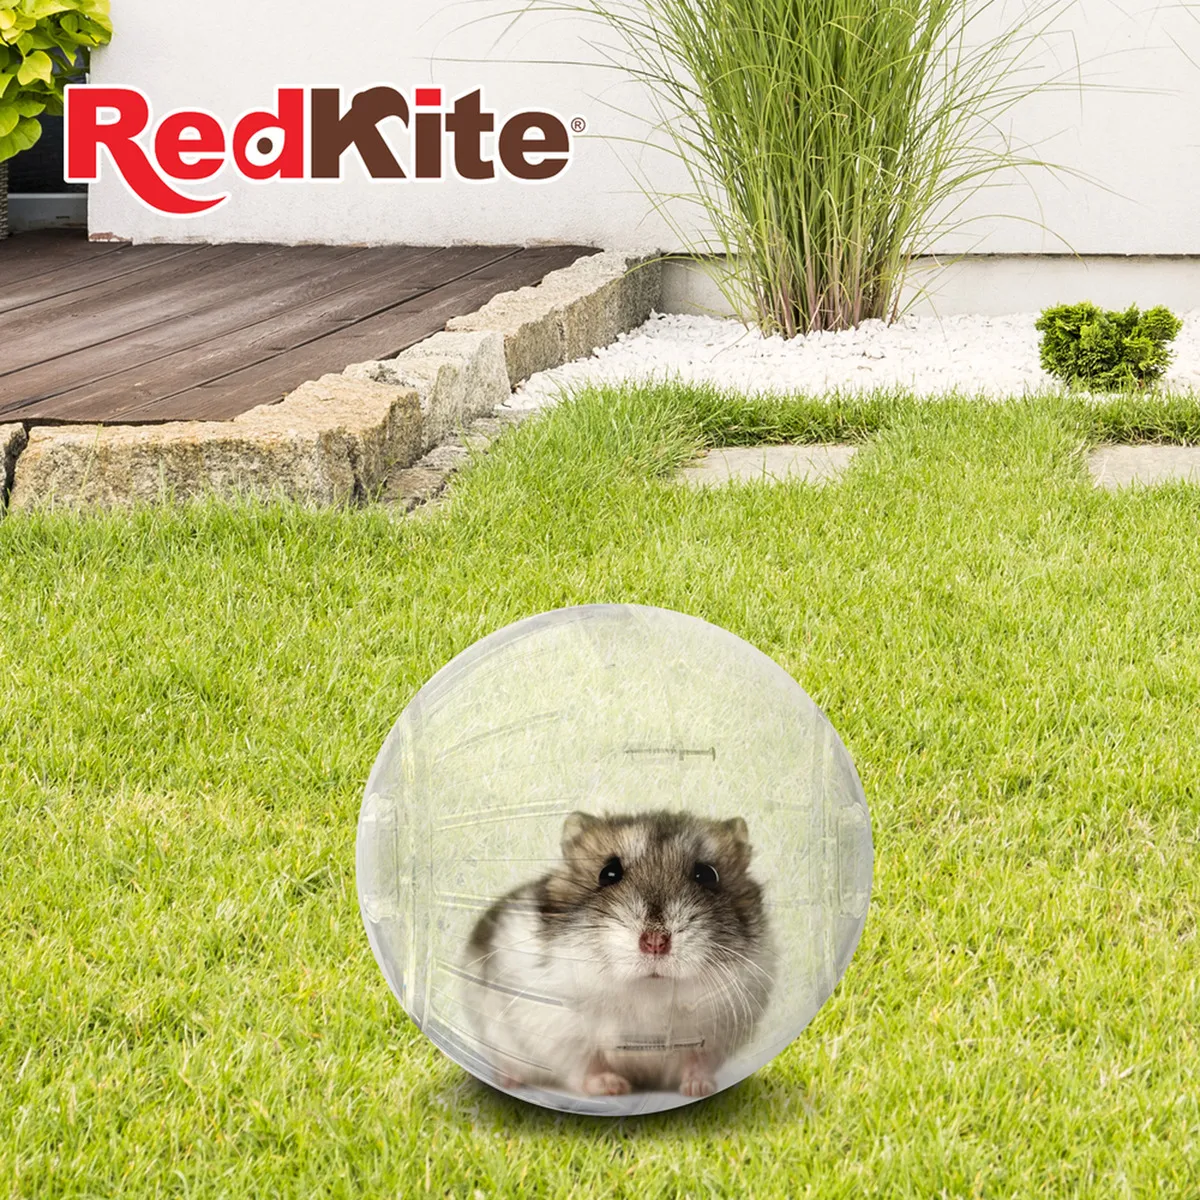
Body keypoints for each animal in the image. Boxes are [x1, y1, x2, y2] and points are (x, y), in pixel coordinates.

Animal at [460, 809, 775, 1098]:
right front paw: (613, 1087)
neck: (649, 993)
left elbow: (698, 1062)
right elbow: (584, 1065)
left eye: (707, 875)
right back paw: (508, 1080)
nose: (655, 942)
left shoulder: (718, 1034)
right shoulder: (557, 1030)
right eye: (608, 873)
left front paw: (699, 1089)